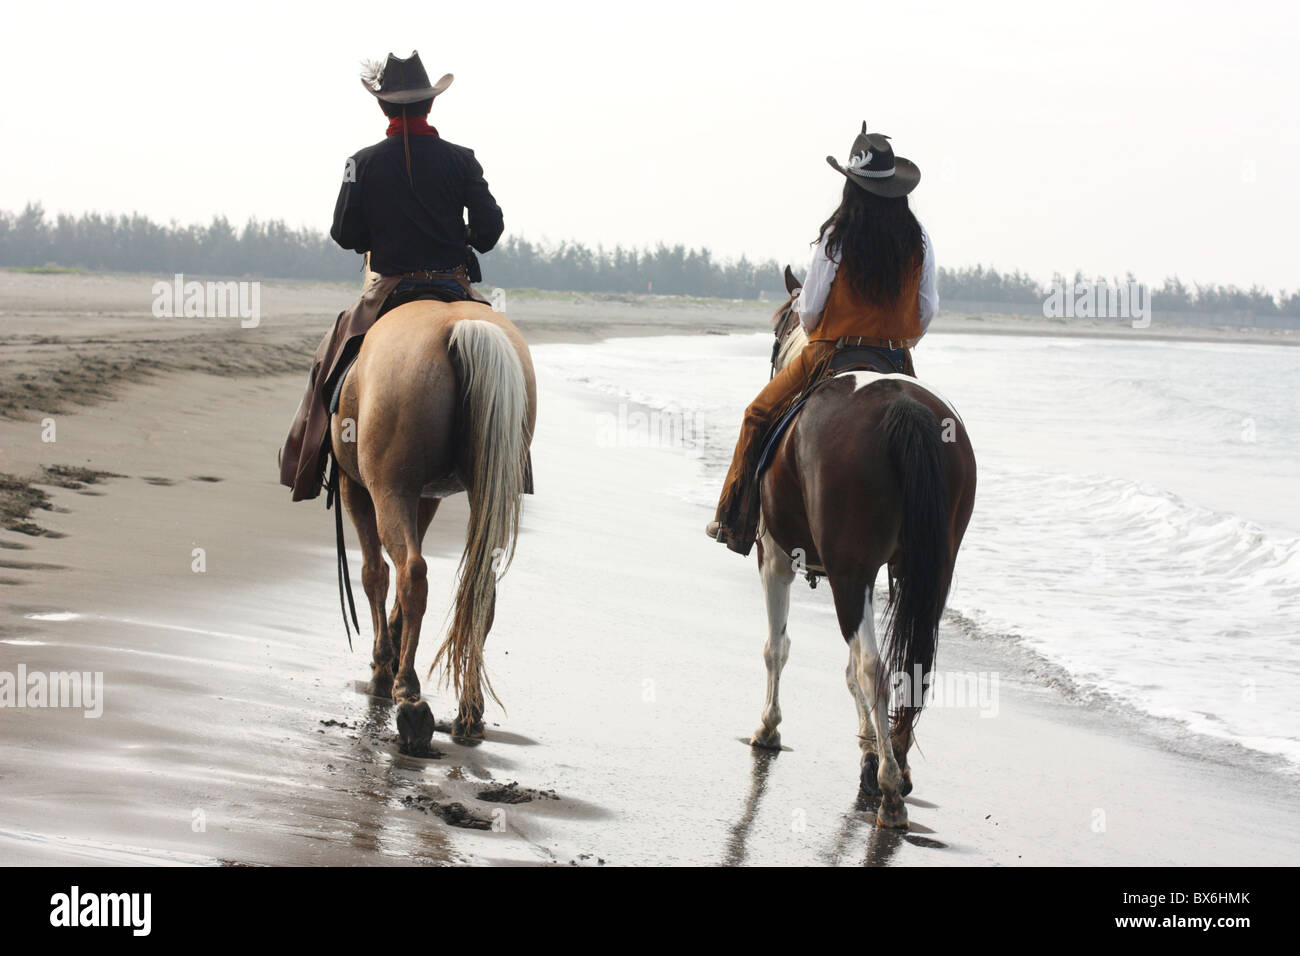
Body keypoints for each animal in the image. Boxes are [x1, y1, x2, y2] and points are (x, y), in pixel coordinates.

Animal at [328, 274, 535, 757]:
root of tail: (460, 327)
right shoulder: (426, 496)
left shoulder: (359, 488)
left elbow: (374, 573)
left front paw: (382, 667)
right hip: (478, 487)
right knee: (481, 589)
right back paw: (469, 713)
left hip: (386, 488)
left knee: (410, 572)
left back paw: (408, 696)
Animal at [747, 267, 976, 828]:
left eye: (778, 330)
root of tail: (905, 409)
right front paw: (870, 749)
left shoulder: (776, 557)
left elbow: (779, 646)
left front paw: (769, 727)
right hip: (933, 569)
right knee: (909, 665)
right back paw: (897, 767)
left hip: (847, 574)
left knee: (874, 666)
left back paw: (891, 789)